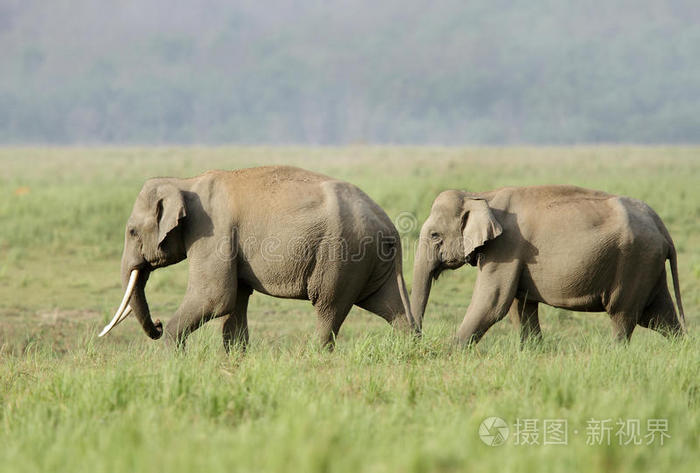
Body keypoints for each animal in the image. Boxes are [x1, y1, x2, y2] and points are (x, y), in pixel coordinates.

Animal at [98, 164, 416, 348]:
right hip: (372, 261)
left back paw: (315, 357)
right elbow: (234, 305)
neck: (186, 182)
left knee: (328, 308)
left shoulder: (213, 233)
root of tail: (388, 225)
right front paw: (235, 362)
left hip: (341, 256)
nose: (158, 324)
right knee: (391, 307)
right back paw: (409, 353)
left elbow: (214, 297)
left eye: (132, 232)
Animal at [412, 186, 688, 344]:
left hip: (634, 262)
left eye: (434, 235)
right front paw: (533, 352)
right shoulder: (516, 257)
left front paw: (449, 353)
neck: (482, 196)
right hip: (648, 265)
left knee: (623, 316)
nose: (418, 342)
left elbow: (492, 304)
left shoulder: (505, 248)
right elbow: (520, 307)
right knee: (661, 317)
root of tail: (662, 227)